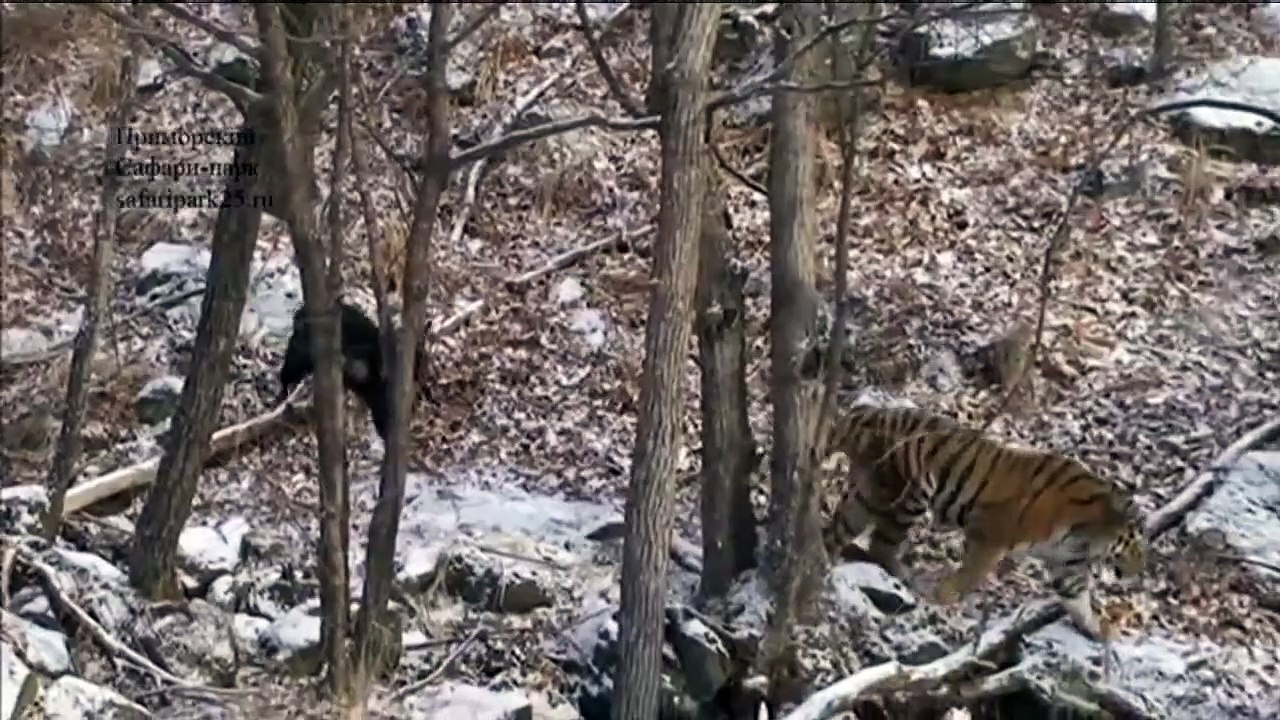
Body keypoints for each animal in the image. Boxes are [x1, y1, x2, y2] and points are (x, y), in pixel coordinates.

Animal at [821, 403, 1146, 640]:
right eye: (1138, 546)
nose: (1139, 574)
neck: (1088, 535)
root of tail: (862, 411)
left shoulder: (1066, 565)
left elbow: (1078, 600)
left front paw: (1099, 631)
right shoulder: (991, 534)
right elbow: (968, 577)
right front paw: (944, 602)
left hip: (865, 493)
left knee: (839, 532)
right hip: (906, 492)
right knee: (881, 545)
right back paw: (906, 580)